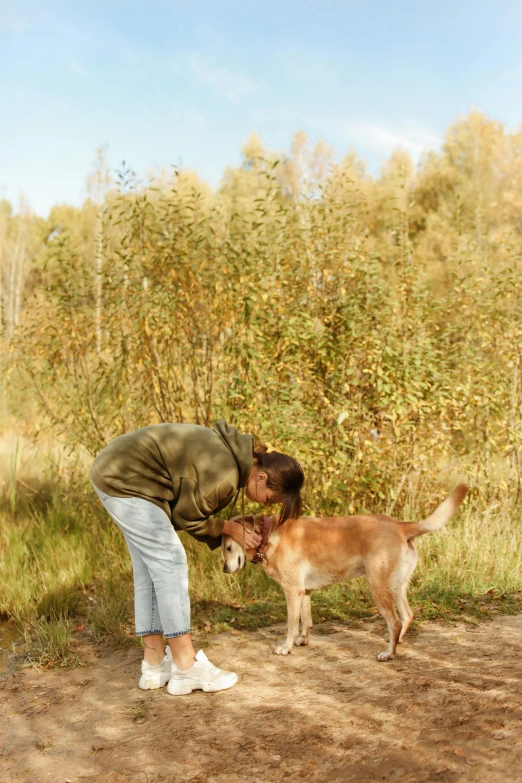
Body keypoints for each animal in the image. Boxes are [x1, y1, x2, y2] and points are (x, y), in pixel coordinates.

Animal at [221, 486, 466, 660]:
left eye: (228, 547)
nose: (224, 569)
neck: (269, 535)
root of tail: (400, 525)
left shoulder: (292, 591)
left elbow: (291, 624)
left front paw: (286, 647)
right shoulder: (305, 592)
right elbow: (306, 620)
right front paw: (303, 640)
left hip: (378, 587)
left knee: (395, 622)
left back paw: (389, 653)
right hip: (397, 587)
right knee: (407, 616)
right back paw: (398, 642)